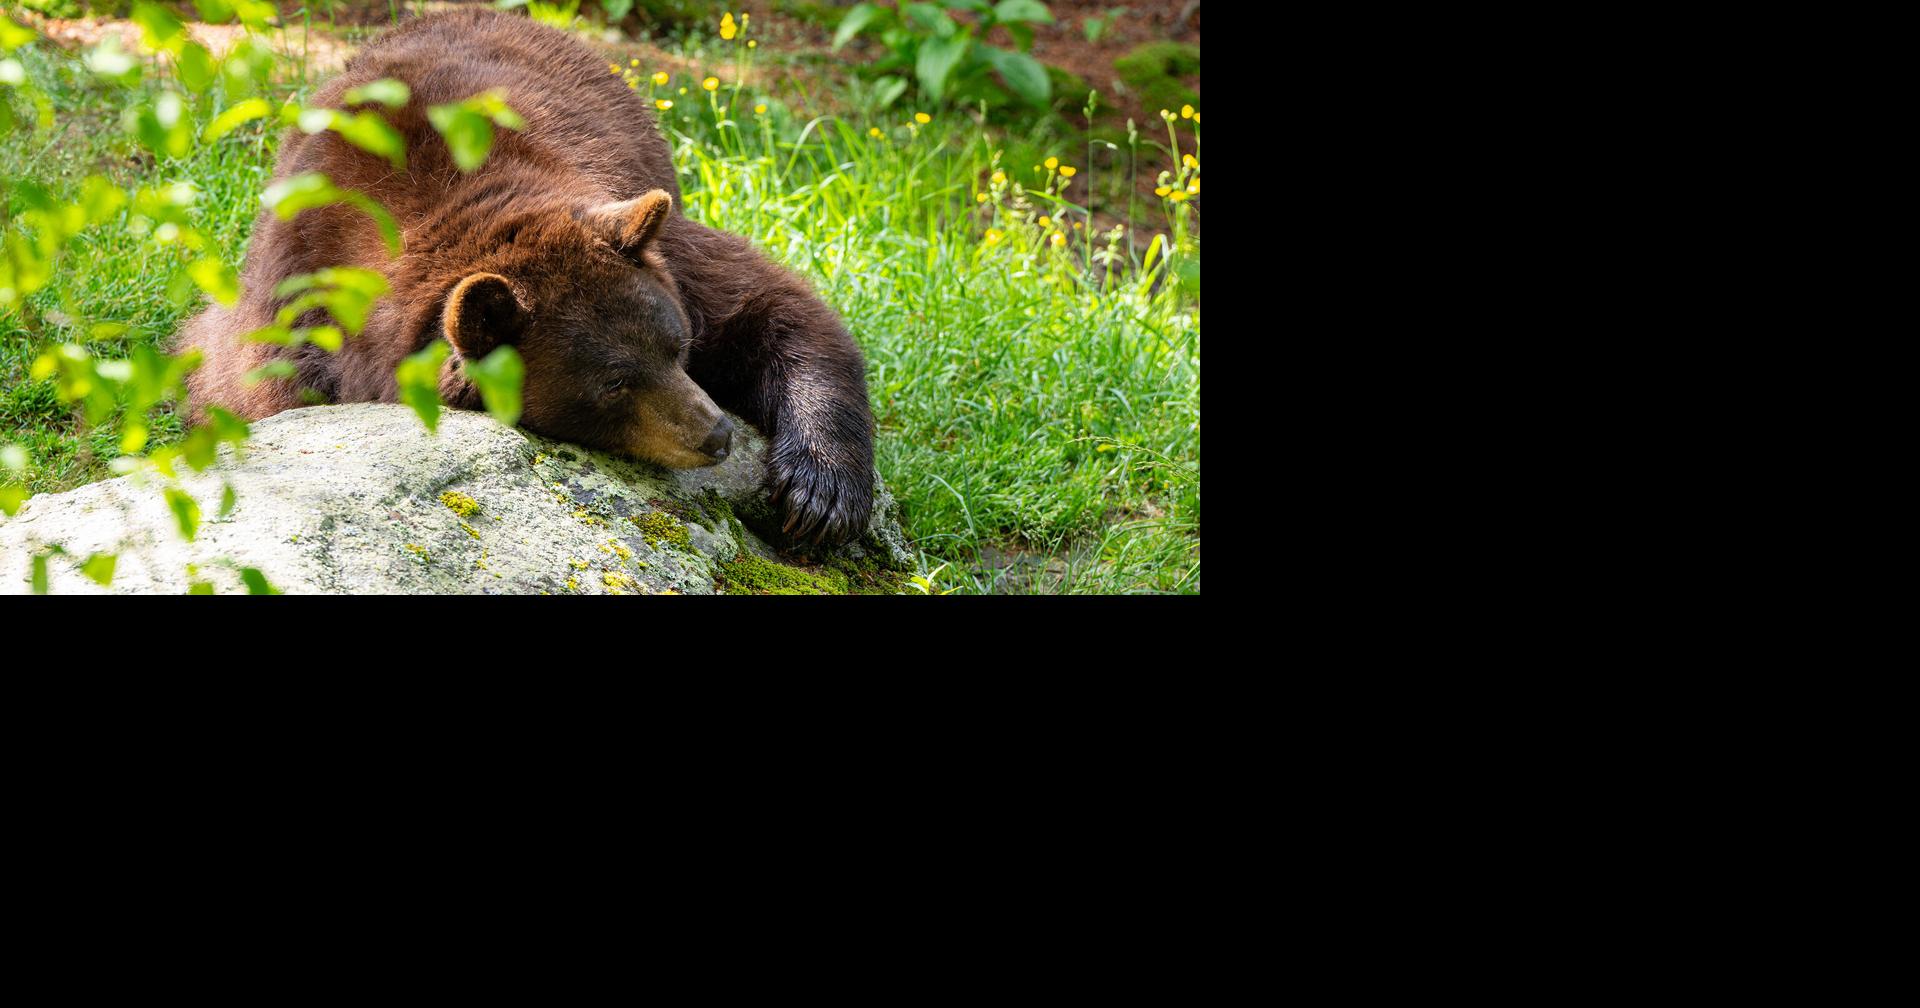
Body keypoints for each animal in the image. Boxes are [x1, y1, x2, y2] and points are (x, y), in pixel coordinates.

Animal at [176, 7, 875, 545]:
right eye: (612, 382)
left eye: (677, 346)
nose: (717, 433)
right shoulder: (293, 309)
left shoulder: (658, 240)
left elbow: (770, 305)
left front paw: (820, 493)